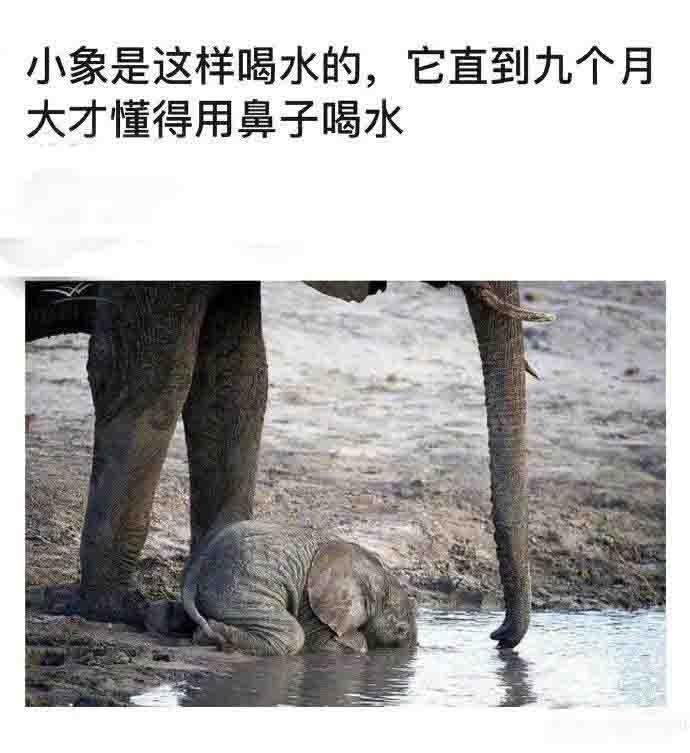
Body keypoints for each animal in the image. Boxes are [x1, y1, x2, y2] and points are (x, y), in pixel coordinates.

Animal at [173, 520, 417, 655]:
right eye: (401, 630)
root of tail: (195, 567)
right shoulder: (312, 600)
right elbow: (326, 643)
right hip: (241, 586)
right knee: (292, 636)